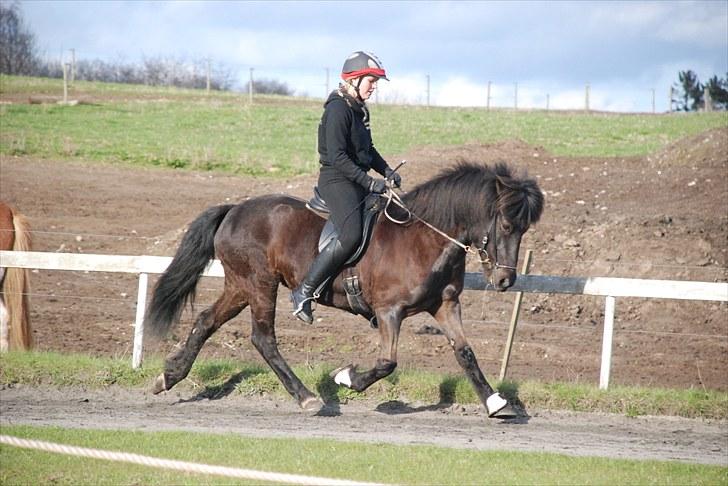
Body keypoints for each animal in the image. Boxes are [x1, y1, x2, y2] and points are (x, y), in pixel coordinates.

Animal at [145, 162, 544, 418]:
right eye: (506, 225)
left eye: (525, 229)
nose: (505, 281)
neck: (424, 239)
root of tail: (233, 210)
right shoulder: (388, 311)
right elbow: (386, 362)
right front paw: (347, 378)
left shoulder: (445, 305)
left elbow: (465, 353)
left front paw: (494, 402)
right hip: (260, 284)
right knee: (263, 338)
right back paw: (306, 397)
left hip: (240, 285)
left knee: (206, 321)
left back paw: (168, 377)